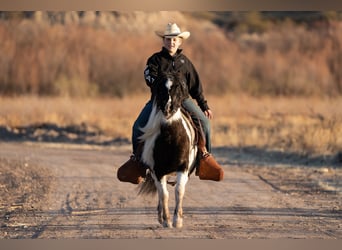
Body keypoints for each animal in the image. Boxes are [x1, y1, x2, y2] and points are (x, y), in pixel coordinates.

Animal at [137, 70, 200, 229]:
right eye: (160, 88)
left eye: (179, 87)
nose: (168, 108)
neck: (171, 138)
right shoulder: (158, 171)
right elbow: (164, 194)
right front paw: (166, 220)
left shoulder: (183, 168)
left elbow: (179, 191)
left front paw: (178, 220)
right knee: (161, 192)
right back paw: (160, 216)